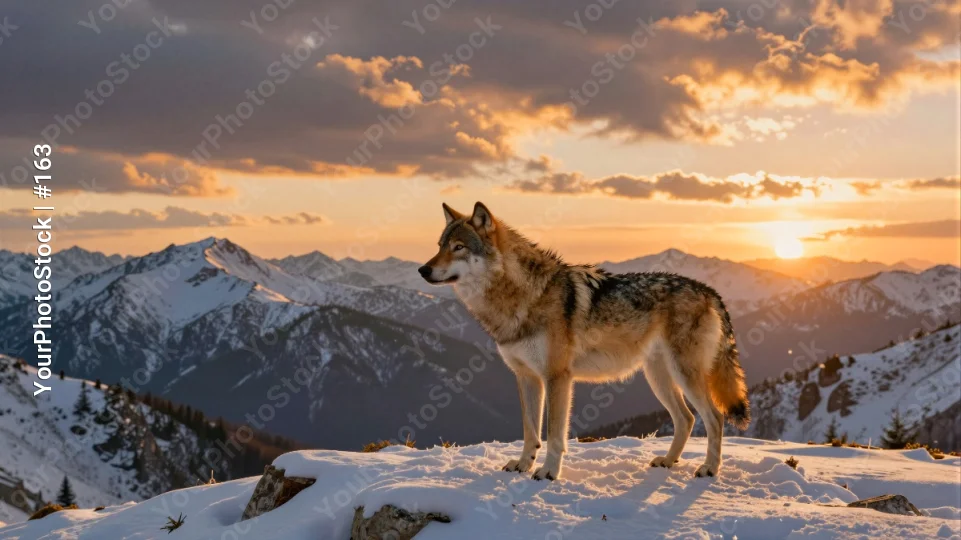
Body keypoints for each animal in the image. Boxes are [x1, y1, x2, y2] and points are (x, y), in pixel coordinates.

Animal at [418, 202, 750, 481]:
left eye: (458, 247)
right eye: (439, 247)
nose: (423, 269)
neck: (522, 296)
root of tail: (708, 290)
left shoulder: (557, 377)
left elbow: (554, 434)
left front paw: (548, 473)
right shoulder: (526, 377)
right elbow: (530, 431)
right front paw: (523, 465)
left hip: (684, 375)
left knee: (714, 418)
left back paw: (709, 468)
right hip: (658, 377)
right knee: (686, 419)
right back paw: (668, 461)